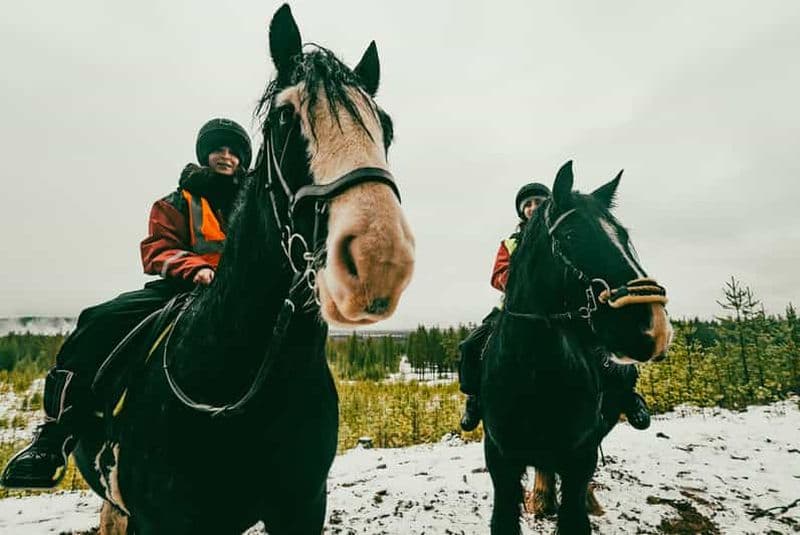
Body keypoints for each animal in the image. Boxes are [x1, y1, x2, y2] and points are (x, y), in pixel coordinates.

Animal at [480, 160, 671, 535]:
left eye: (624, 236)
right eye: (571, 236)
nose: (656, 327)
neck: (534, 374)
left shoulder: (579, 453)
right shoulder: (500, 458)